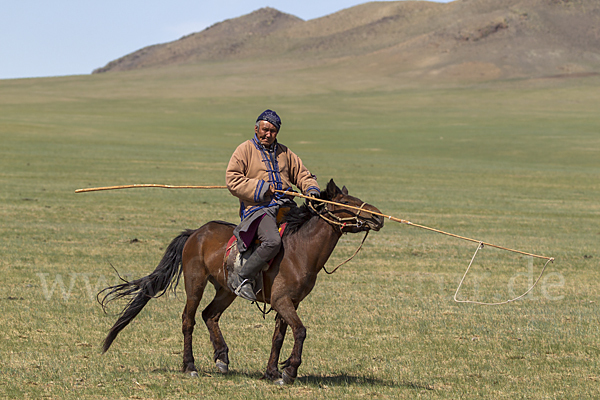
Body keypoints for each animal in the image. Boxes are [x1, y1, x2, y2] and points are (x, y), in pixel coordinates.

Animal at [96, 180, 382, 384]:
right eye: (345, 201)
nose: (378, 216)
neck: (300, 250)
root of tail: (195, 233)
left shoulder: (290, 302)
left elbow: (279, 336)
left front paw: (272, 372)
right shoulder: (282, 300)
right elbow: (300, 331)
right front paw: (289, 371)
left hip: (227, 290)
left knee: (209, 315)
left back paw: (222, 358)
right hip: (195, 283)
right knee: (189, 319)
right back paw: (190, 366)